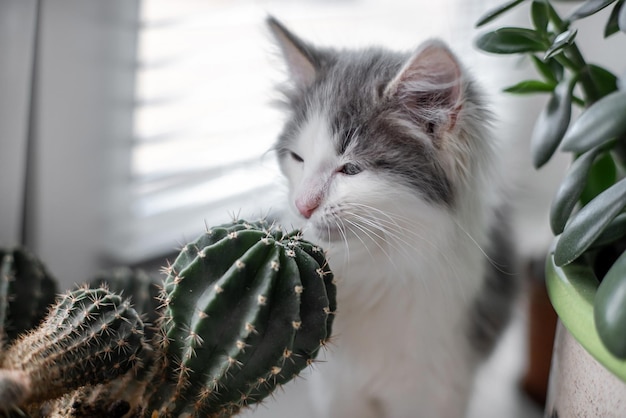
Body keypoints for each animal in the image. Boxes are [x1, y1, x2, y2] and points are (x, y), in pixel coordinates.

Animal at [266, 16, 516, 418]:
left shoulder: (438, 386)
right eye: (298, 158)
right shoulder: (339, 389)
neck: (374, 265)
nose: (302, 205)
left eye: (351, 169)